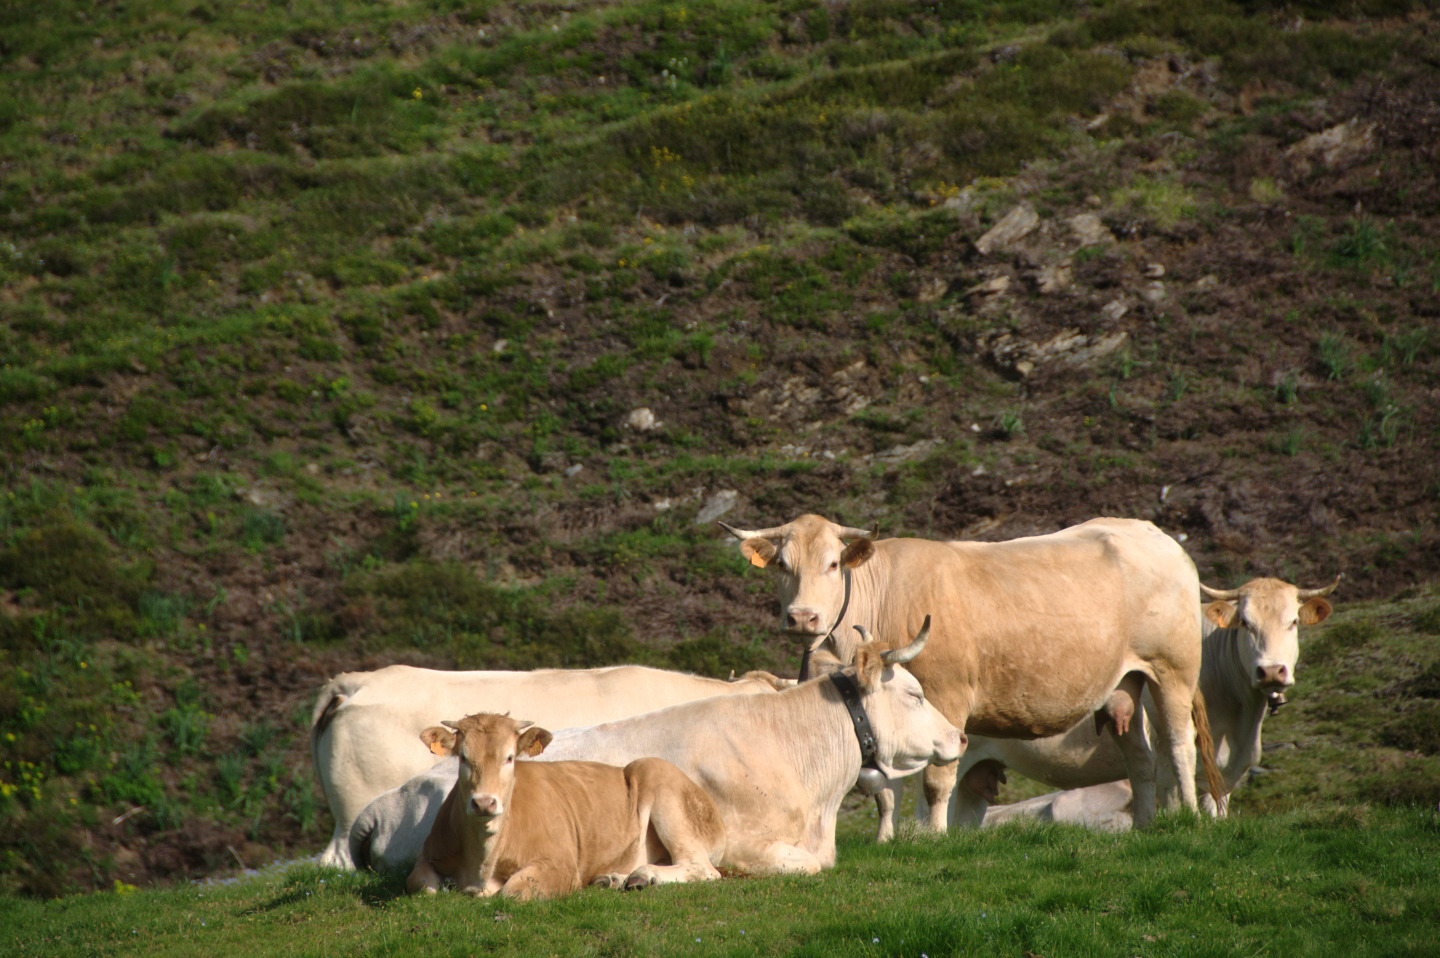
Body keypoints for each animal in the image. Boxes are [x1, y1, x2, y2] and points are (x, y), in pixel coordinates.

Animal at [406, 708, 725, 898]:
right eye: (463, 757)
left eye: (510, 757)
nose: (484, 803)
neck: (481, 865)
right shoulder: (428, 853)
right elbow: (422, 884)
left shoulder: (559, 865)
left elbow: (514, 891)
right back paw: (615, 878)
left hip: (660, 782)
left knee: (703, 868)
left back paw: (644, 876)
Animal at [720, 512, 1215, 824]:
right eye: (782, 565)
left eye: (833, 563)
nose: (803, 617)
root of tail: (1153, 533)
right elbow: (888, 787)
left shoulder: (949, 696)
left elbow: (937, 782)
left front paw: (933, 839)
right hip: (1125, 684)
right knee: (1141, 758)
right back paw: (1146, 826)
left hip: (1173, 669)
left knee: (1177, 745)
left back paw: (1191, 819)